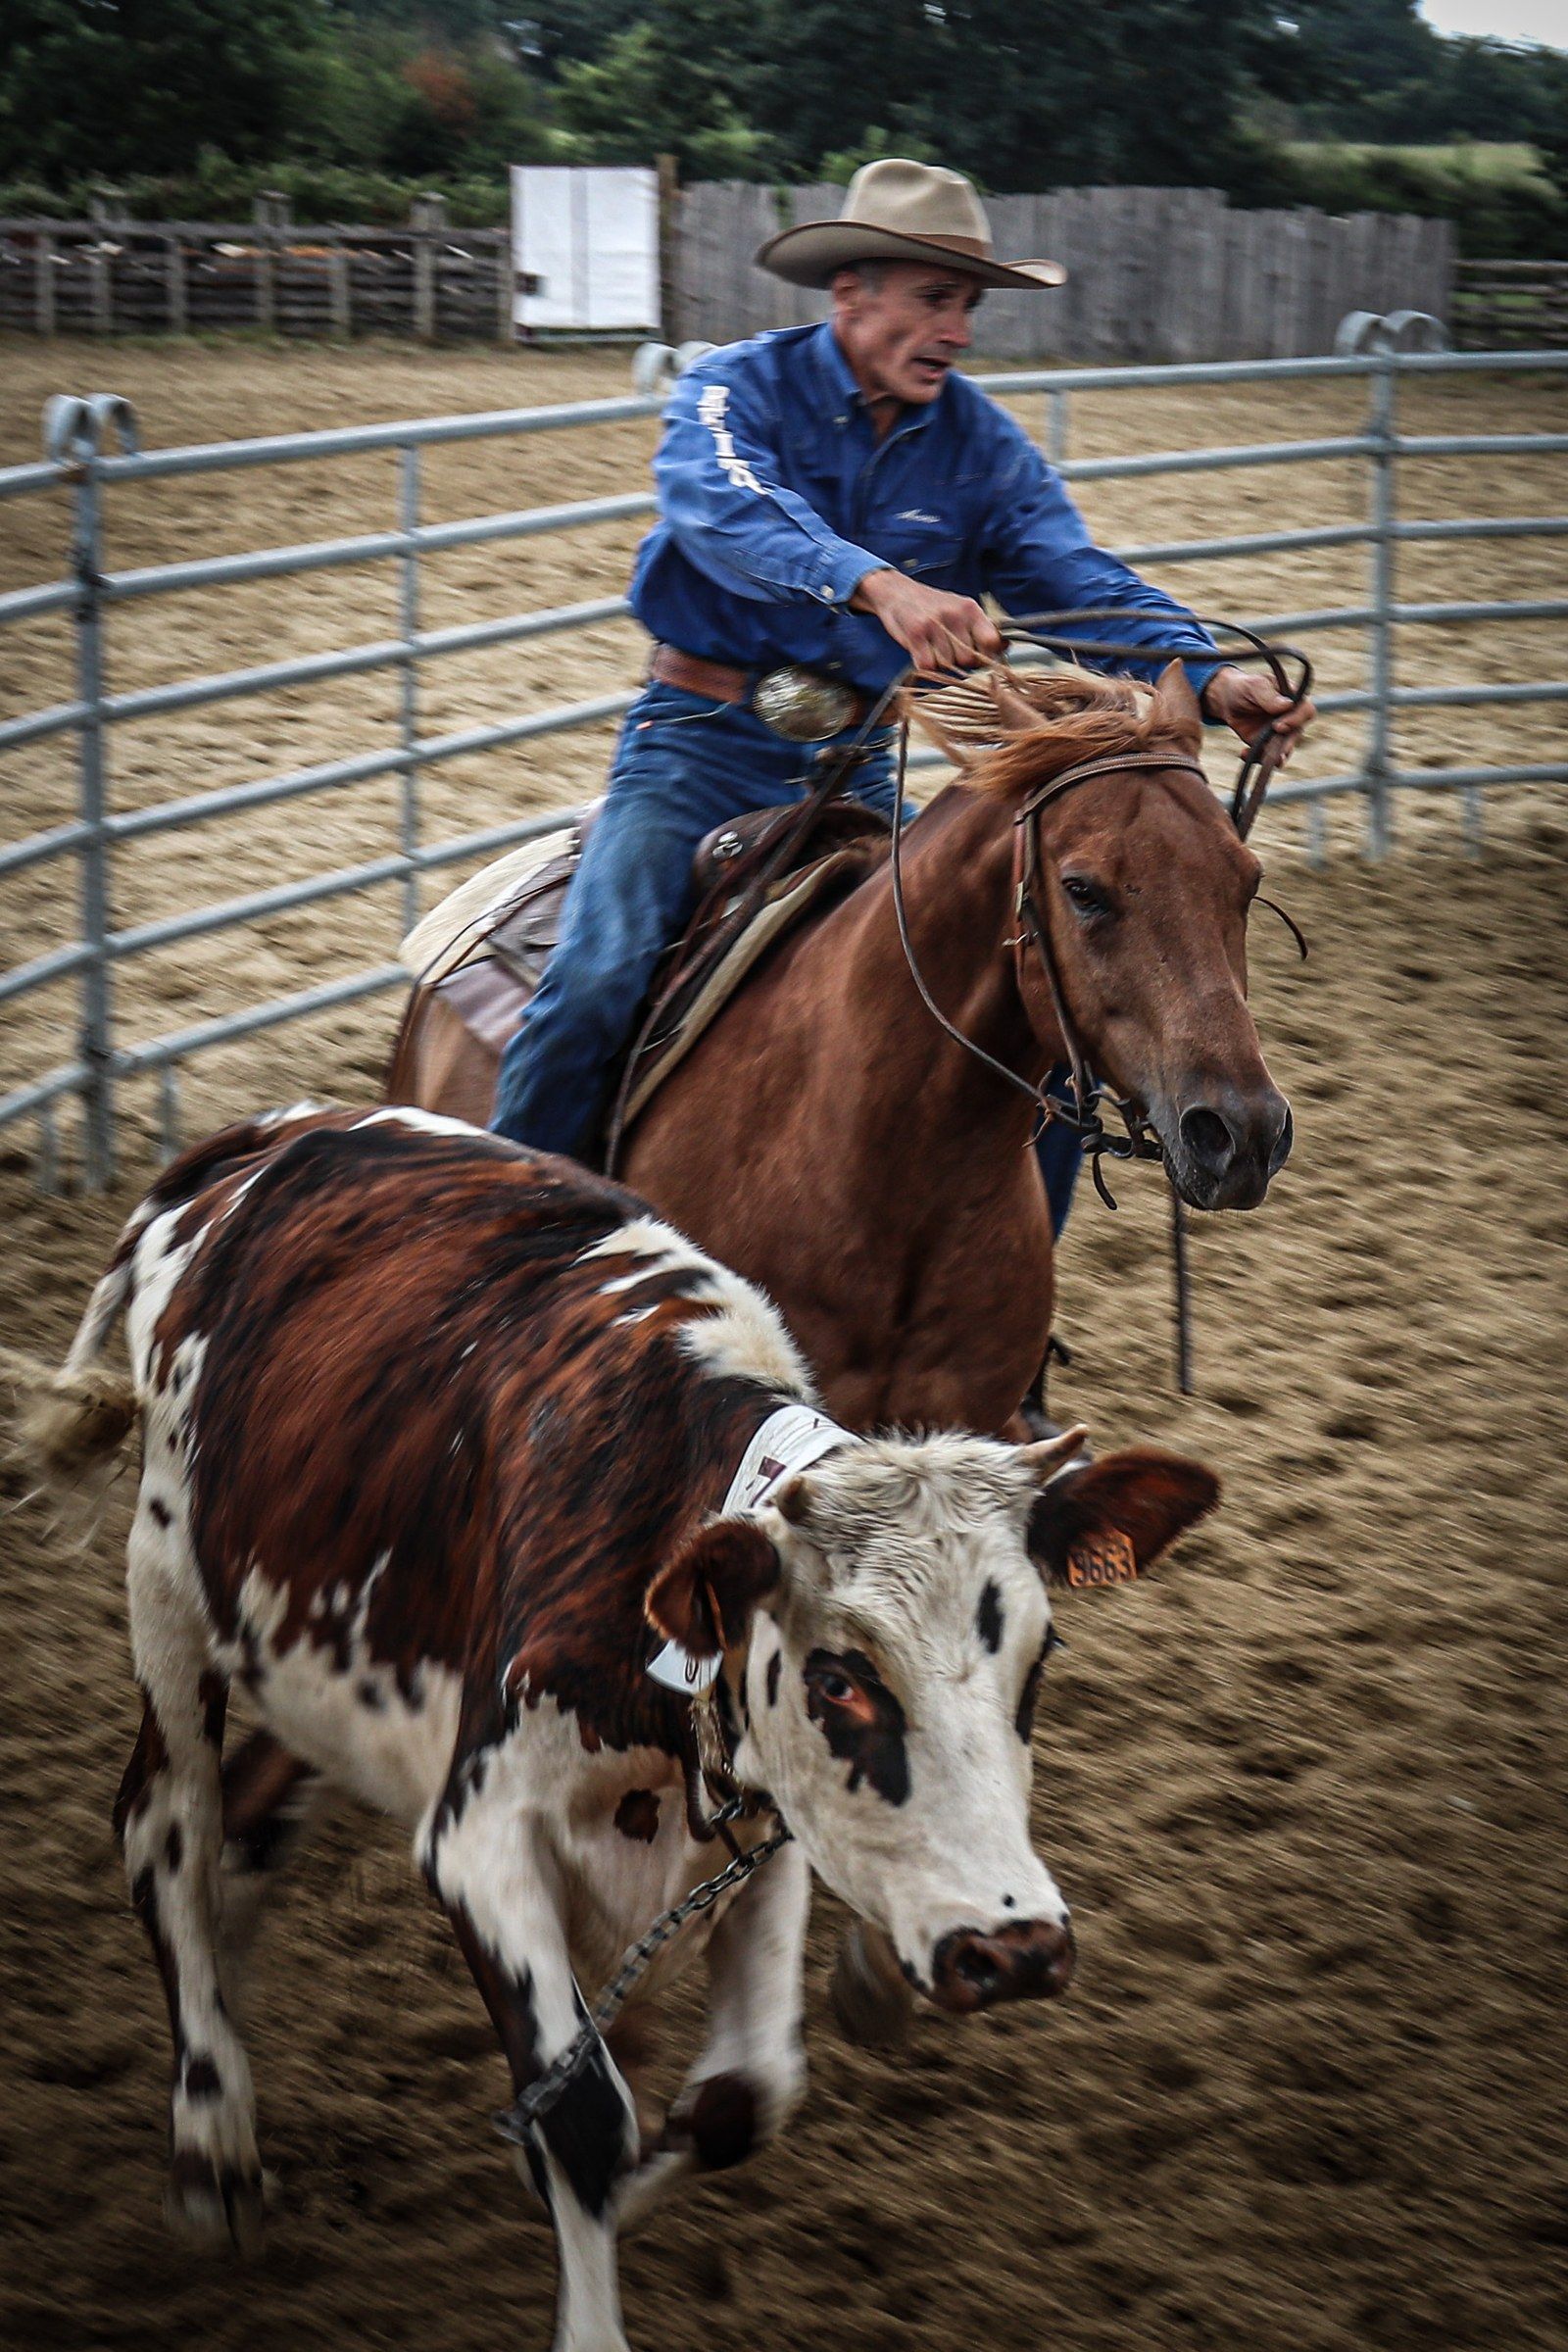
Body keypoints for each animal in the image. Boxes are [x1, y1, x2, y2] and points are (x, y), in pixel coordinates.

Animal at [26, 1105, 1217, 2352]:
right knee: (166, 1828)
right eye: (838, 1679)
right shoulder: (481, 1834)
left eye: (1040, 1656)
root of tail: (266, 1137)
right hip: (168, 1578)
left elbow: (743, 2097)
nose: (1015, 1946)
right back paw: (212, 2135)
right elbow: (585, 2114)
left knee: (245, 1841)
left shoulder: (764, 1827)